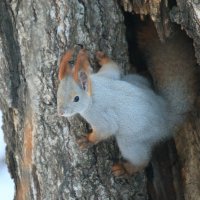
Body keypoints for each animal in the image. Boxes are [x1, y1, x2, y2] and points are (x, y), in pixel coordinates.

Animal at [57, 21, 196, 176]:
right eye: (58, 94)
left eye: (76, 99)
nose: (61, 112)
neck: (93, 92)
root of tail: (166, 115)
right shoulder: (105, 76)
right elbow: (113, 69)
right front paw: (102, 57)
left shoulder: (98, 115)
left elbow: (105, 130)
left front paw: (87, 140)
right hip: (135, 80)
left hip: (131, 140)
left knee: (141, 161)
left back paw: (125, 168)